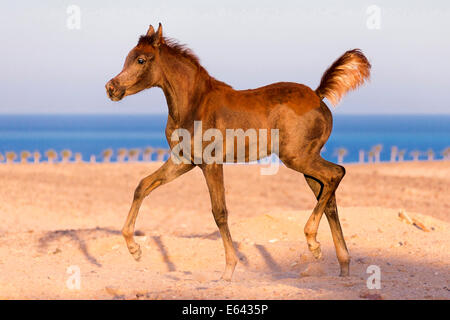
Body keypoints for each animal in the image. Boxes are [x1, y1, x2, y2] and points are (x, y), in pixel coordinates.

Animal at [106, 23, 372, 280]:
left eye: (141, 60)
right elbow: (143, 185)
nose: (111, 88)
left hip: (299, 158)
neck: (194, 104)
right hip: (306, 164)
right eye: (128, 58)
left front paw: (228, 270)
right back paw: (342, 265)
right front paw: (134, 249)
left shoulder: (211, 164)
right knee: (329, 199)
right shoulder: (183, 161)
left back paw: (313, 241)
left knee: (336, 173)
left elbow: (219, 212)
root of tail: (318, 95)